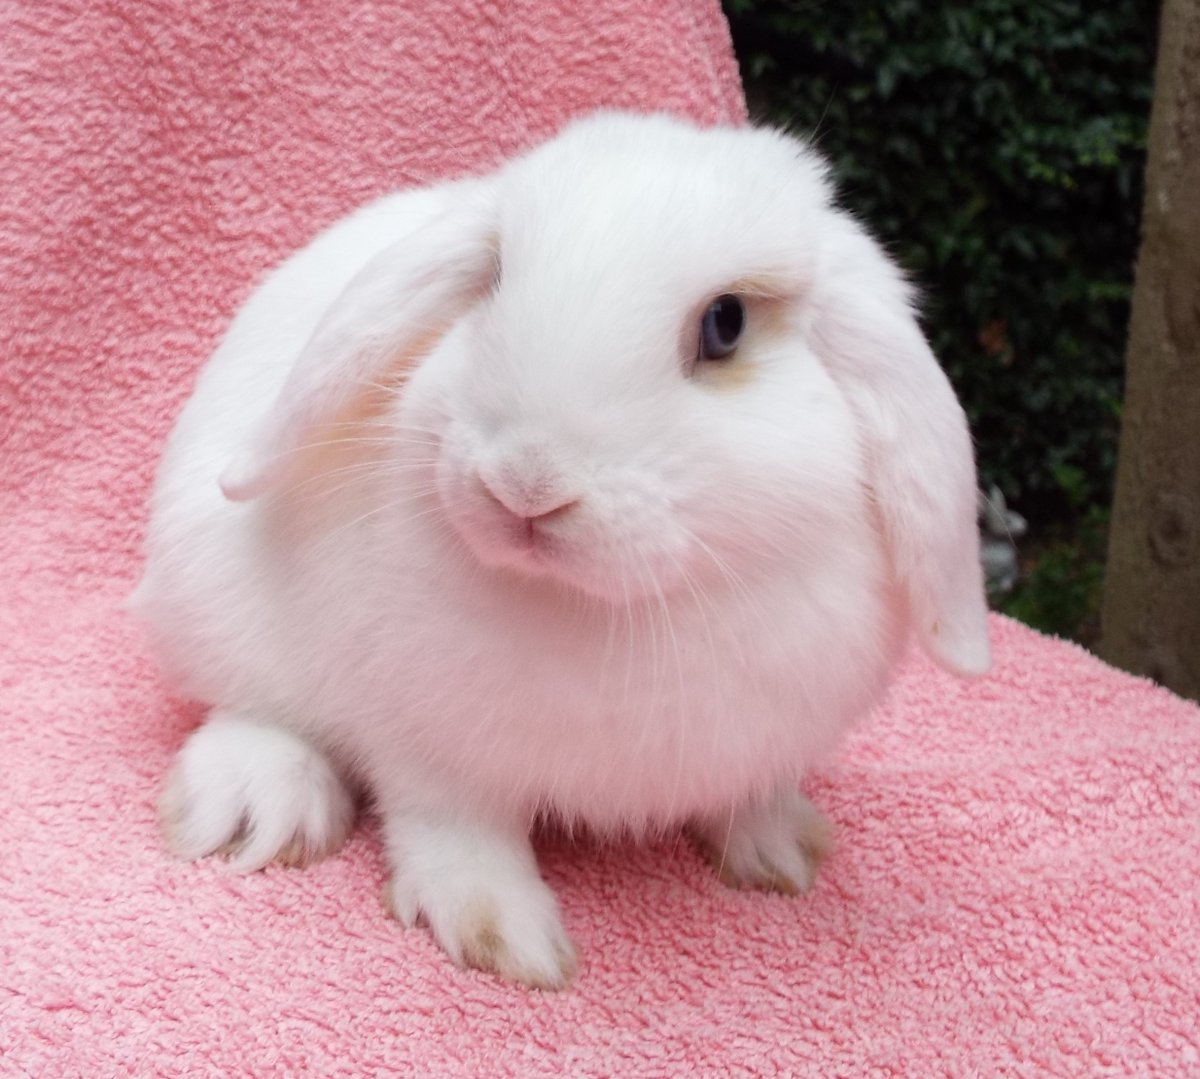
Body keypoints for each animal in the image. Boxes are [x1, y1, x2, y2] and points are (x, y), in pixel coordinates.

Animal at [135, 111, 991, 990]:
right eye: (494, 279)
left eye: (725, 325)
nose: (524, 482)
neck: (619, 613)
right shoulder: (427, 745)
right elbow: (453, 828)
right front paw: (504, 934)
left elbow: (748, 795)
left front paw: (781, 848)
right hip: (220, 608)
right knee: (249, 704)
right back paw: (260, 803)